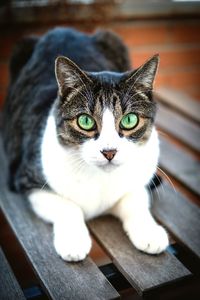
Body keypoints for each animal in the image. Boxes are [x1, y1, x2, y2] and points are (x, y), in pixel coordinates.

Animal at [2, 28, 169, 262]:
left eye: (129, 120)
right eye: (85, 121)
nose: (109, 152)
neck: (100, 180)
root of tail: (63, 29)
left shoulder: (139, 178)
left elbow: (135, 200)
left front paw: (150, 232)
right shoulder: (27, 179)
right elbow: (68, 205)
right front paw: (74, 242)